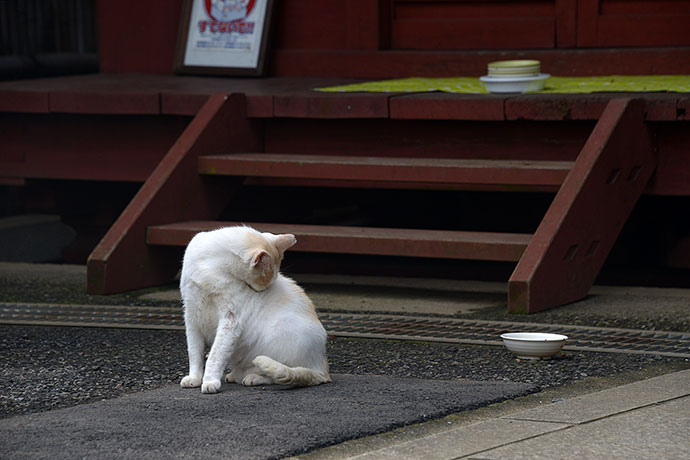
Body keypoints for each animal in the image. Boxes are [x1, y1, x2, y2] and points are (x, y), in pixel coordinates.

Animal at [177, 225, 328, 394]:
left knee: (280, 374)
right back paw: (235, 375)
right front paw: (195, 378)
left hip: (280, 331)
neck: (211, 268)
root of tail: (323, 370)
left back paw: (253, 378)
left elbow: (215, 355)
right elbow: (194, 353)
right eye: (265, 280)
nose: (266, 289)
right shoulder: (191, 316)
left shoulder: (230, 320)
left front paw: (210, 381)